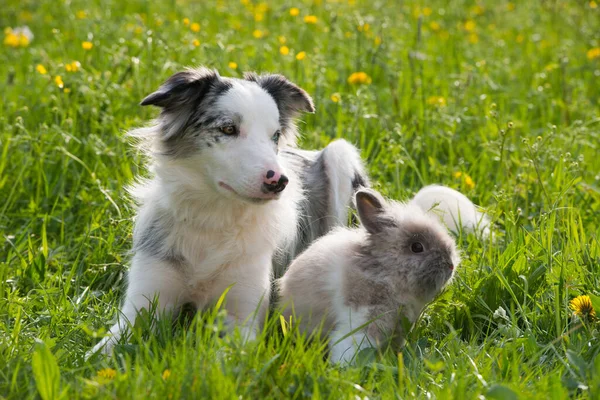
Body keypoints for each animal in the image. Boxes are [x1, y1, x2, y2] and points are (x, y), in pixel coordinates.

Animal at [89, 67, 368, 354]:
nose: (279, 181)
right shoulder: (141, 306)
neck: (213, 216)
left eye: (275, 136)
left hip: (340, 155)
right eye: (228, 128)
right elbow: (99, 351)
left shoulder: (243, 316)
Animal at [276, 188, 460, 362]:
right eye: (417, 247)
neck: (386, 272)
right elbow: (353, 342)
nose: (451, 265)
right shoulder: (364, 316)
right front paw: (345, 365)